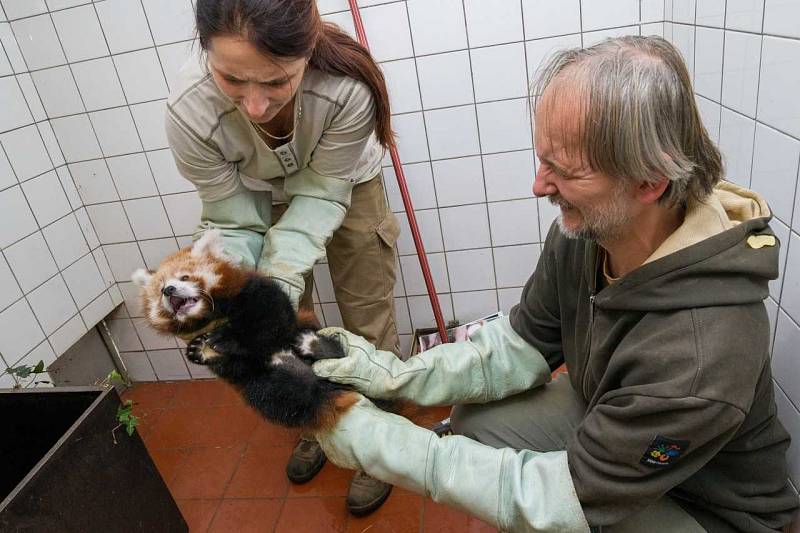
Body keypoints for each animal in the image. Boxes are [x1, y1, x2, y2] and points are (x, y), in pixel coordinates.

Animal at [132, 231, 360, 430]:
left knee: (334, 351)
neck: (211, 316)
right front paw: (202, 350)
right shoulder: (237, 366)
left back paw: (313, 345)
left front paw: (229, 340)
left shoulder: (258, 294)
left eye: (184, 277)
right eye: (160, 289)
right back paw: (291, 367)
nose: (168, 290)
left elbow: (269, 324)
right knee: (289, 393)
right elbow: (234, 366)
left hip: (310, 333)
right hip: (262, 387)